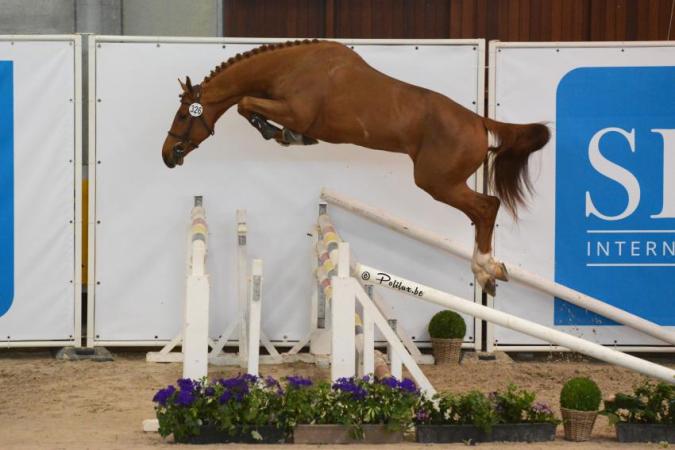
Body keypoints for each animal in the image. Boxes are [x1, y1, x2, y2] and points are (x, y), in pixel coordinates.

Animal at [161, 39, 550, 296]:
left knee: (487, 207)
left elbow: (245, 102)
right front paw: (282, 134)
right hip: (443, 183)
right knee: (483, 211)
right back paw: (489, 270)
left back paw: (485, 270)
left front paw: (280, 133)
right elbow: (246, 104)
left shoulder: (297, 111)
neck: (292, 67)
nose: (168, 155)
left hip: (437, 182)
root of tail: (479, 121)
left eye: (182, 115)